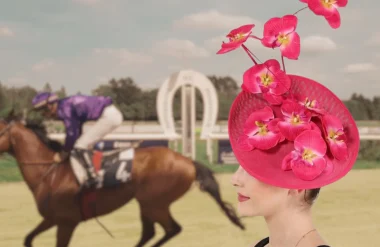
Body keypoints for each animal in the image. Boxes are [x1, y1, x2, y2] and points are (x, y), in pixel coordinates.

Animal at [0, 111, 243, 247]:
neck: (49, 173)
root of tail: (188, 161)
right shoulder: (52, 219)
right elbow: (28, 239)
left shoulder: (66, 222)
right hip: (147, 203)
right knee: (151, 232)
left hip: (154, 203)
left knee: (171, 229)